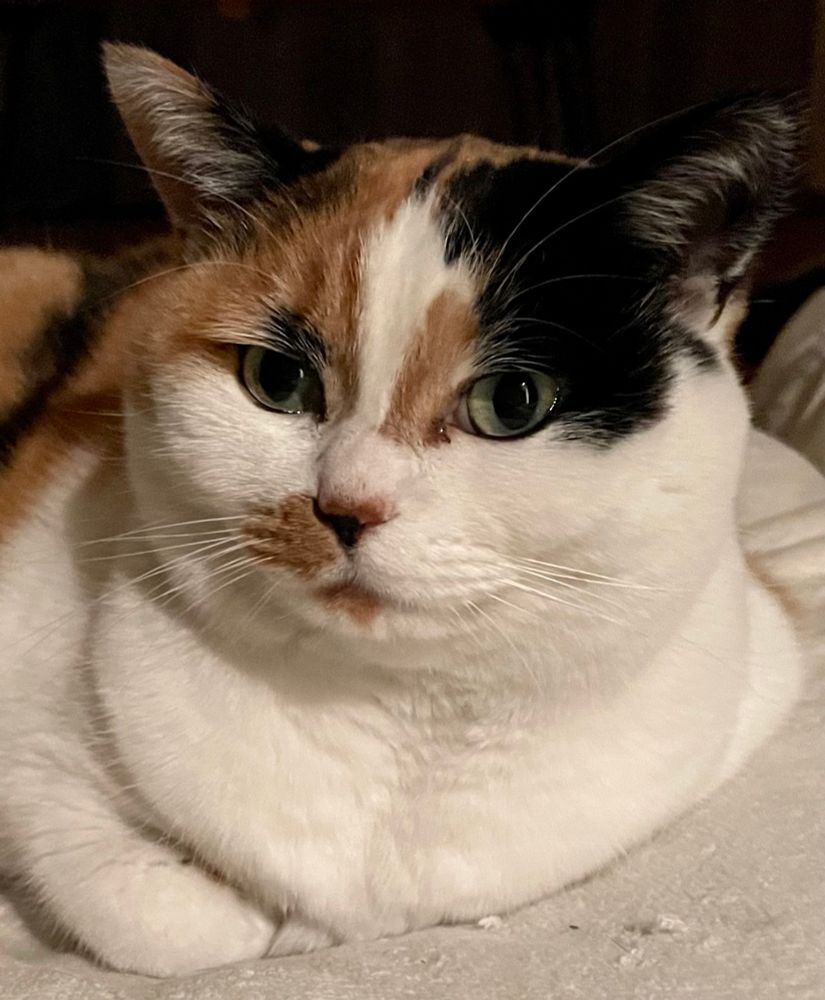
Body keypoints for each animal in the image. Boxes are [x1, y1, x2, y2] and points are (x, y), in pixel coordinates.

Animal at [0, 43, 807, 976]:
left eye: (512, 402)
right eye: (277, 379)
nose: (347, 507)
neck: (397, 723)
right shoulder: (40, 759)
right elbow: (172, 918)